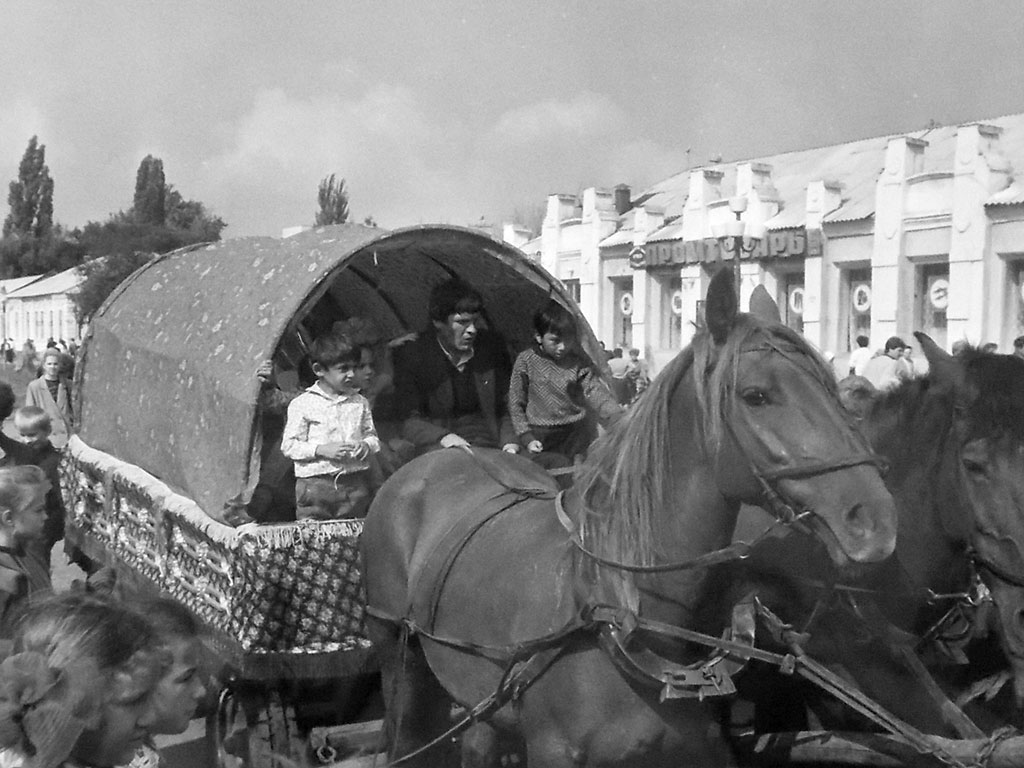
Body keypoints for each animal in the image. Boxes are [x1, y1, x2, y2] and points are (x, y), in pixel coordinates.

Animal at [358, 266, 897, 768]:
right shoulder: (553, 752)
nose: (875, 522)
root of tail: (438, 459)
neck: (617, 602)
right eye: (756, 396)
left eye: (832, 389)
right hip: (401, 664)